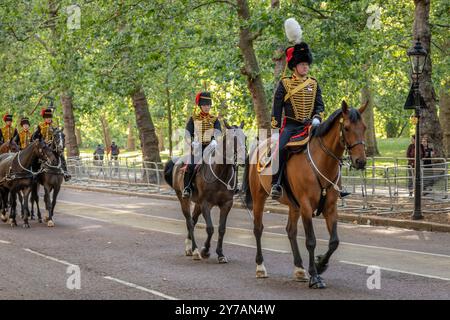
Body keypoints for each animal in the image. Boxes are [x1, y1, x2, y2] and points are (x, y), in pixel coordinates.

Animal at [163, 120, 246, 262]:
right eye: (233, 139)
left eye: (245, 137)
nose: (243, 159)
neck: (220, 172)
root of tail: (178, 161)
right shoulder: (206, 204)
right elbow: (210, 228)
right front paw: (205, 251)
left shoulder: (226, 204)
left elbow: (222, 229)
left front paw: (220, 254)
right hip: (184, 199)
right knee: (190, 222)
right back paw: (195, 250)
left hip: (197, 203)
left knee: (193, 220)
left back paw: (189, 248)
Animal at [244, 101, 368, 288]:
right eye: (346, 128)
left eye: (364, 127)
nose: (360, 162)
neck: (322, 160)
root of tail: (259, 146)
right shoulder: (306, 206)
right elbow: (311, 241)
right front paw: (315, 276)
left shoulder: (330, 207)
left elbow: (334, 241)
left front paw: (320, 264)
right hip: (259, 197)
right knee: (258, 228)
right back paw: (260, 267)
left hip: (294, 205)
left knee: (291, 231)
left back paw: (299, 269)